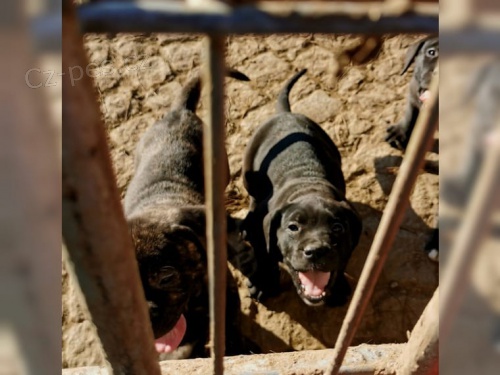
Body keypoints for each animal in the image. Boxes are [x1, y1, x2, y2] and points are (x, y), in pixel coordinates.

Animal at [241, 70, 360, 308]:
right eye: (293, 227)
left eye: (338, 228)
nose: (316, 251)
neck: (309, 187)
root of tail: (285, 113)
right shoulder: (262, 229)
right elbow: (264, 255)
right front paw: (264, 283)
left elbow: (341, 263)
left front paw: (338, 288)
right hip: (248, 173)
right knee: (252, 197)